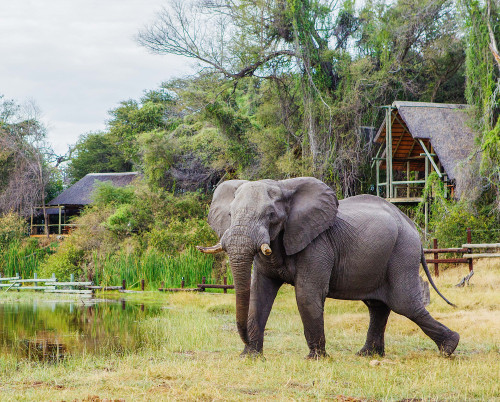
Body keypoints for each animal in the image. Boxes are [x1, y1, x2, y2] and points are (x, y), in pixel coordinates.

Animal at [196, 177, 460, 356]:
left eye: (270, 215)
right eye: (230, 215)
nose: (245, 344)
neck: (284, 187)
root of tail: (413, 227)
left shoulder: (318, 243)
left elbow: (307, 294)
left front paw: (316, 358)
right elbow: (260, 294)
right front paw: (250, 356)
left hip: (402, 252)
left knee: (405, 303)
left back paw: (449, 348)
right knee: (378, 306)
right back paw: (367, 354)